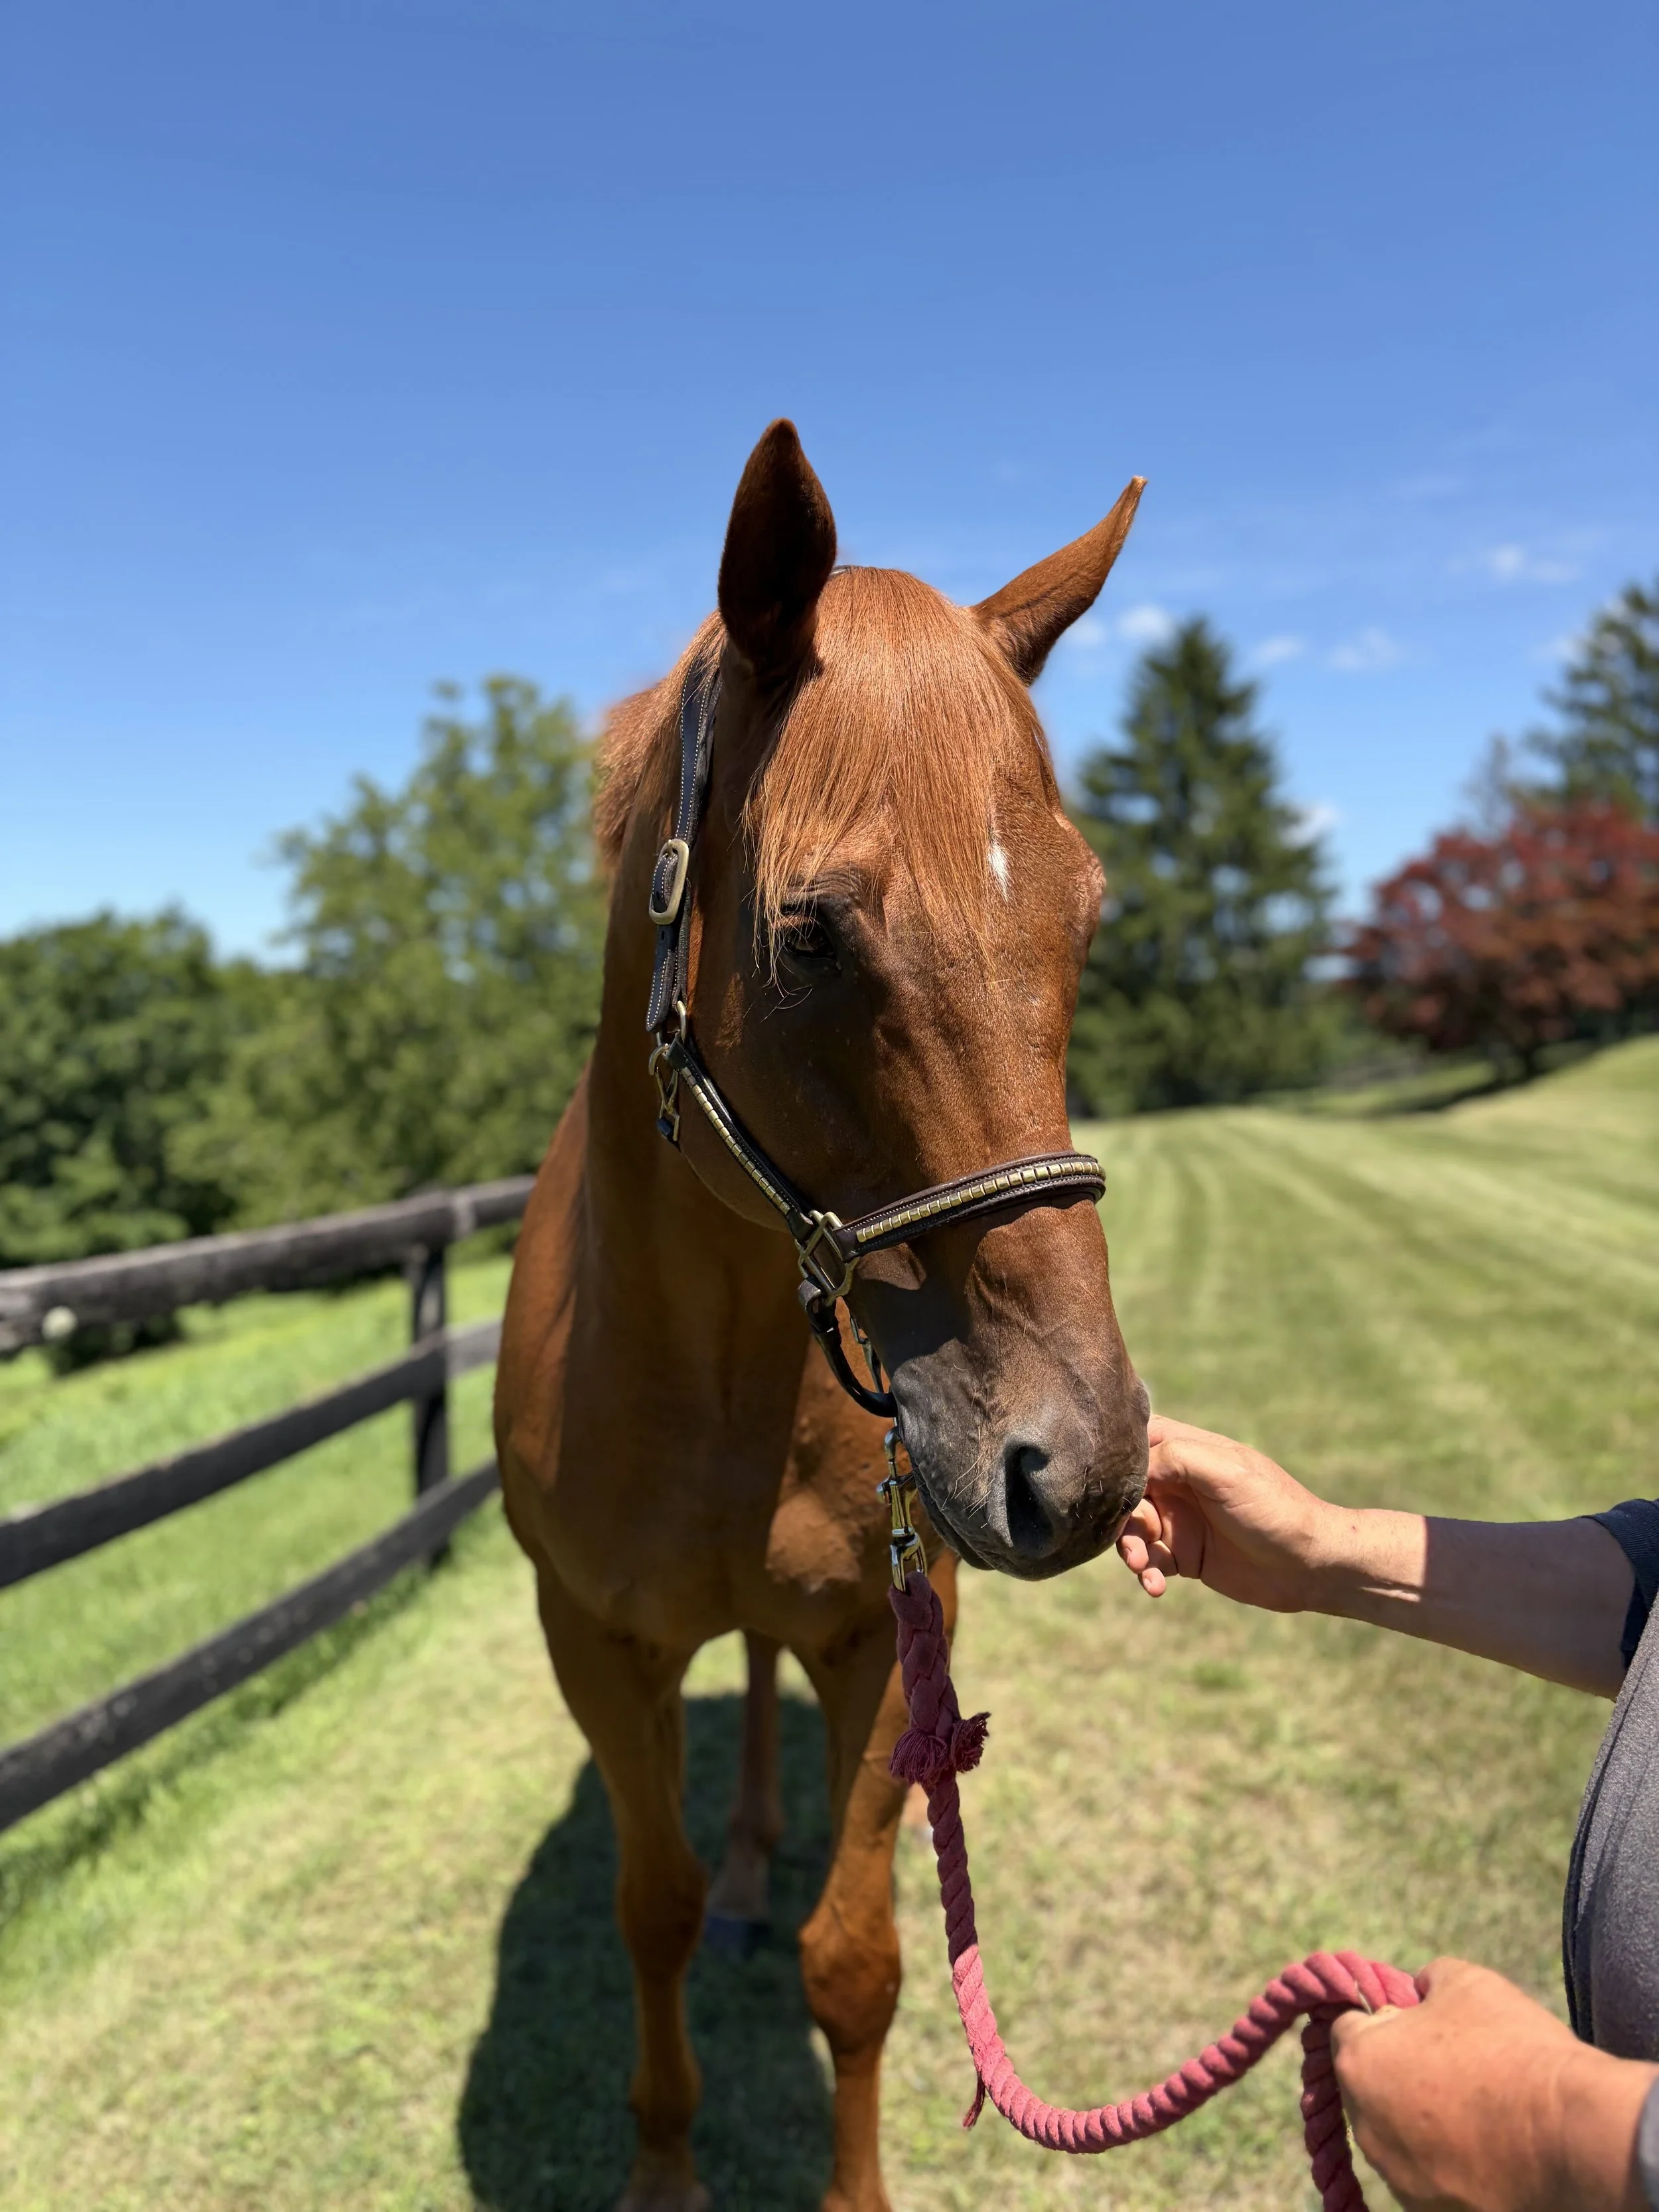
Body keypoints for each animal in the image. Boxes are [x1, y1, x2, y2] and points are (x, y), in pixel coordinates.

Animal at [494, 419, 1151, 2212]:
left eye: (1085, 914)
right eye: (808, 931)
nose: (1077, 1465)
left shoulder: (884, 1635)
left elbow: (855, 1958)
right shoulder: (594, 1643)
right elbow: (646, 1916)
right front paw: (662, 2167)